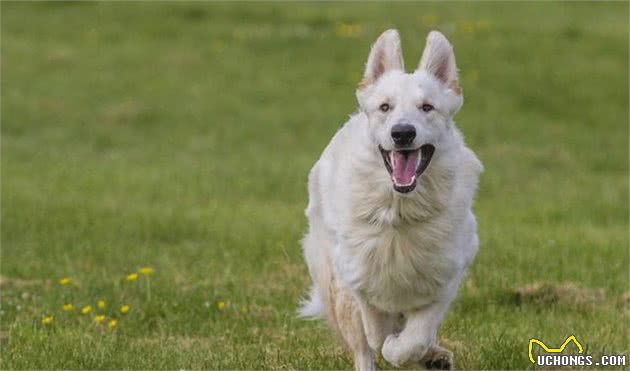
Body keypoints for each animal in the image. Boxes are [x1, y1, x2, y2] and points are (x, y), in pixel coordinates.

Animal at [302, 29, 484, 371]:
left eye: (427, 107)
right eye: (385, 107)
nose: (402, 133)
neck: (398, 213)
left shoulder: (444, 280)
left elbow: (412, 342)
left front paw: (420, 352)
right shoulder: (357, 280)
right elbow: (376, 335)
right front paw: (393, 343)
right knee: (363, 349)